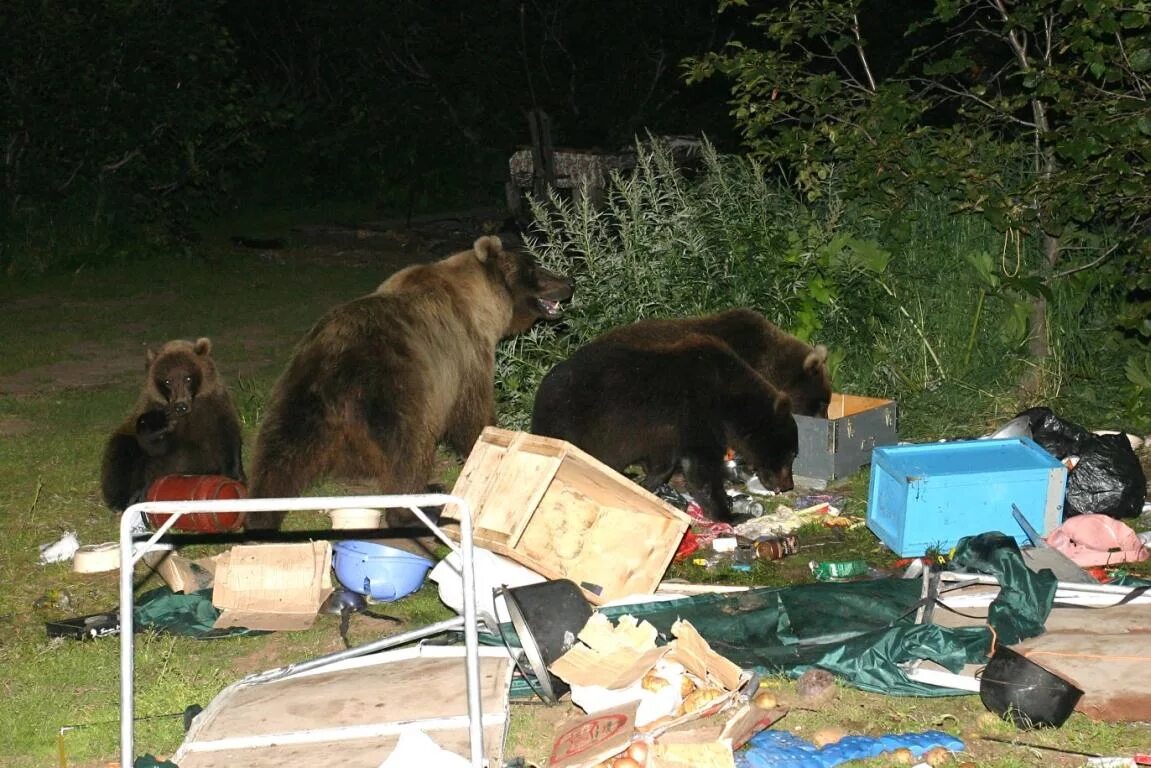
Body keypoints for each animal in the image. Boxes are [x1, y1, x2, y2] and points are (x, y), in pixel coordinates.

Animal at [103, 338, 247, 513]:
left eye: (188, 378)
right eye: (167, 381)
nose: (181, 406)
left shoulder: (214, 407)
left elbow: (227, 437)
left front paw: (236, 476)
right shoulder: (154, 409)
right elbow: (155, 447)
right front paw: (157, 426)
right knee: (122, 451)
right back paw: (124, 499)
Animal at [249, 234, 575, 531]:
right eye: (534, 269)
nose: (569, 282)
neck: (480, 304)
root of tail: (338, 360)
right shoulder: (467, 357)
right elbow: (472, 413)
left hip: (302, 392)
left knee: (280, 451)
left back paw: (261, 513)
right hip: (398, 389)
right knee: (408, 452)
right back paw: (415, 507)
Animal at [531, 331, 796, 522]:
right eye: (791, 454)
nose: (788, 485)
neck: (729, 401)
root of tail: (541, 391)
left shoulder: (667, 430)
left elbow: (665, 461)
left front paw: (649, 482)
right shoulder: (697, 411)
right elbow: (701, 466)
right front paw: (730, 514)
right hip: (571, 423)